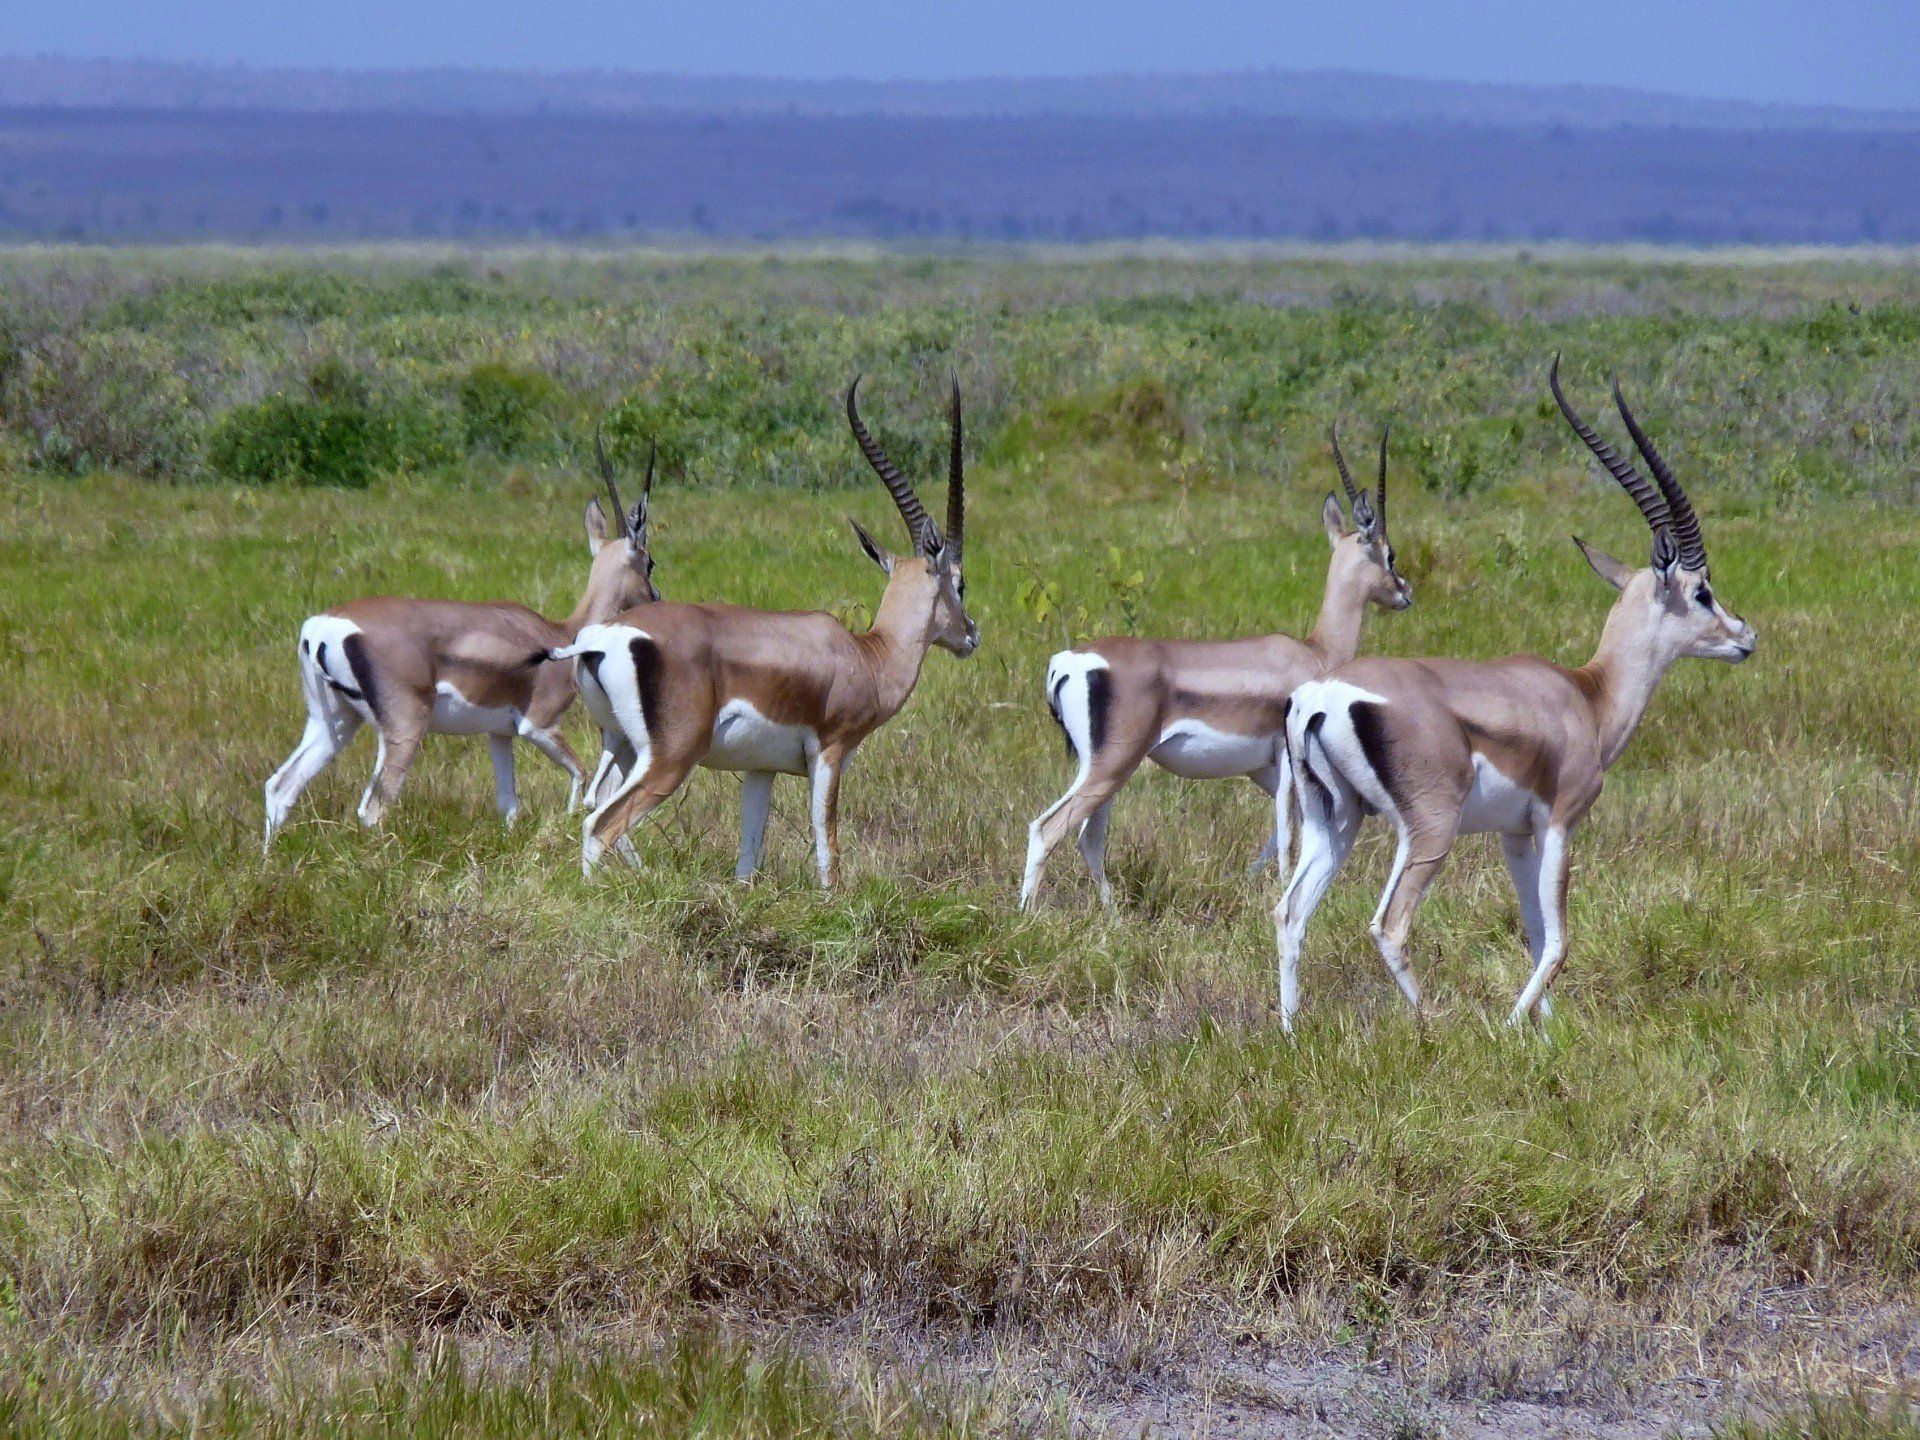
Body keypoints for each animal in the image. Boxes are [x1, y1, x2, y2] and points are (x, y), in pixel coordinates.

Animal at [262, 439, 660, 849]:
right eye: (650, 563)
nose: (657, 600)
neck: (562, 633)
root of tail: (323, 627)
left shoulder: (500, 734)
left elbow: (509, 805)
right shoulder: (539, 725)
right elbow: (580, 774)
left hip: (335, 722)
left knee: (281, 786)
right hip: (404, 729)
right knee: (372, 807)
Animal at [554, 378, 977, 884]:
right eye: (960, 582)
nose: (971, 635)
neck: (868, 656)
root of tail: (601, 638)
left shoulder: (760, 770)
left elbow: (748, 861)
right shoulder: (830, 754)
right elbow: (828, 851)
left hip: (621, 747)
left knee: (595, 806)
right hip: (671, 759)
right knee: (600, 825)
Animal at [1019, 427, 1412, 910]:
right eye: (1390, 554)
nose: (1405, 593)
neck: (1316, 652)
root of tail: (1069, 661)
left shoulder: (1265, 770)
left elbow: (1281, 830)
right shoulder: (1288, 761)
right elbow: (1288, 832)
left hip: (1106, 769)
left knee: (1088, 839)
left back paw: (1112, 916)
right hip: (1113, 765)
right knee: (1048, 829)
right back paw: (1026, 915)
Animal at [1274, 357, 1756, 1031]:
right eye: (1703, 591)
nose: (1745, 637)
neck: (1587, 697)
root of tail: (1321, 697)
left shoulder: (1514, 833)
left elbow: (1532, 930)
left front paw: (1544, 1033)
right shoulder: (1559, 823)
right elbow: (1558, 939)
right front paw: (1512, 1027)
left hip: (1335, 820)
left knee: (1290, 913)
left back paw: (1291, 1032)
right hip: (1428, 831)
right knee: (1388, 925)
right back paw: (1435, 1026)